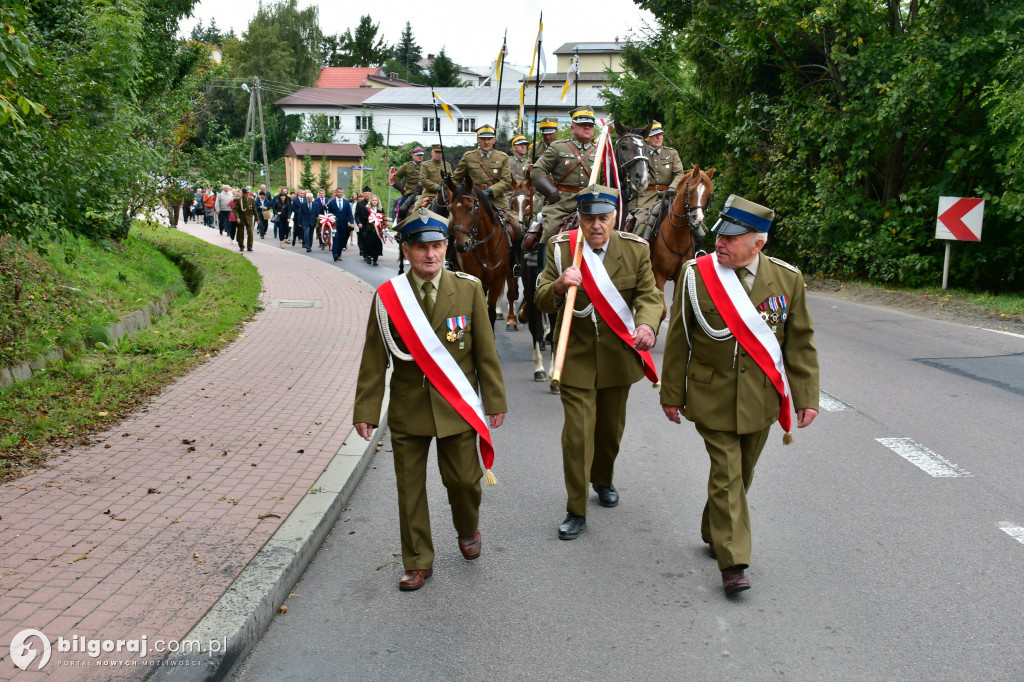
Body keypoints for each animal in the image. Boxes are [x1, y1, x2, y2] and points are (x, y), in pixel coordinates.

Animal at [448, 173, 516, 327]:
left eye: (470, 208)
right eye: (451, 209)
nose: (461, 245)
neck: (485, 247)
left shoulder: (496, 281)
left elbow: (490, 313)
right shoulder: (473, 277)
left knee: (511, 294)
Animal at [651, 164, 716, 321]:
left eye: (708, 194)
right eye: (690, 191)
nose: (697, 219)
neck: (677, 238)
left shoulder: (679, 277)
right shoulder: (658, 274)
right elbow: (661, 310)